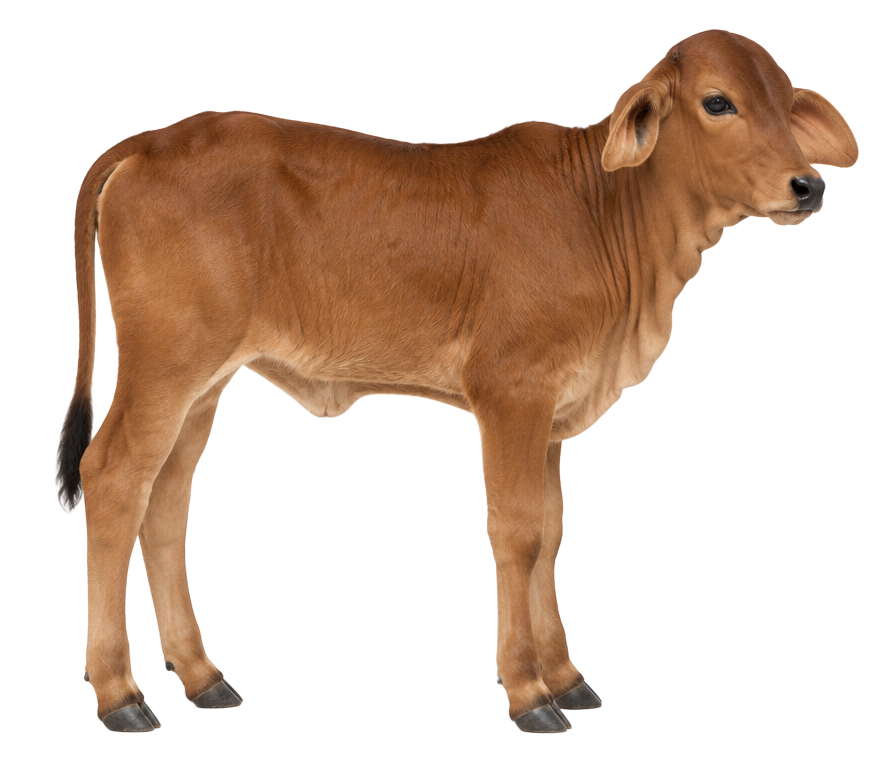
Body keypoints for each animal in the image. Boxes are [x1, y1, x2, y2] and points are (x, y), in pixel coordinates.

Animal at [57, 29, 858, 733]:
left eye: (787, 100)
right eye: (718, 102)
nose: (809, 185)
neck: (605, 213)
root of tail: (152, 139)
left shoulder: (551, 414)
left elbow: (552, 529)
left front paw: (563, 674)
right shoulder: (511, 393)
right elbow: (517, 531)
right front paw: (529, 689)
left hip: (205, 384)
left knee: (167, 499)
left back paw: (201, 675)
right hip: (165, 364)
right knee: (114, 476)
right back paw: (119, 692)